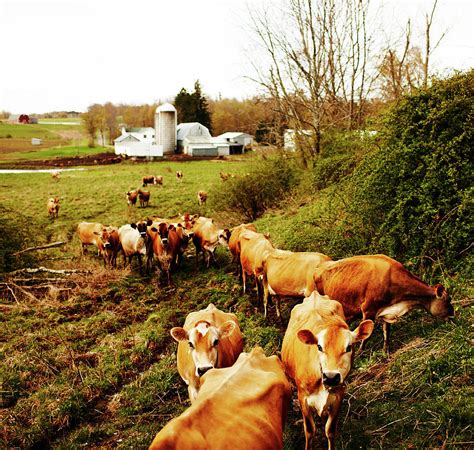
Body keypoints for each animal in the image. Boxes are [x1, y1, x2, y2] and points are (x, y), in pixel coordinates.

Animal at [282, 292, 374, 450]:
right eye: (319, 347)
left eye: (349, 347)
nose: (331, 376)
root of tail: (315, 295)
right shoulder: (303, 397)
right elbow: (310, 430)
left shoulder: (339, 395)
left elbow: (330, 430)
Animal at [308, 253, 456, 356]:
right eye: (448, 300)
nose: (454, 316)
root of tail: (318, 267)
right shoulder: (368, 310)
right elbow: (367, 335)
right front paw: (361, 352)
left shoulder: (386, 311)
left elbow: (386, 331)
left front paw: (386, 351)